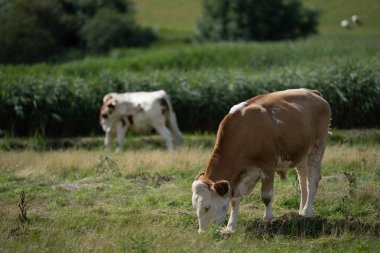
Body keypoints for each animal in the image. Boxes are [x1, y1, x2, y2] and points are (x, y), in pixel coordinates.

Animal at [191, 88, 332, 233]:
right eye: (195, 207)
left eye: (207, 207)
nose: (202, 232)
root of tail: (312, 92)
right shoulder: (239, 176)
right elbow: (235, 200)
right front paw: (230, 227)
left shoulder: (268, 165)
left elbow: (266, 196)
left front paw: (268, 220)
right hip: (301, 153)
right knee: (303, 180)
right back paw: (301, 212)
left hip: (317, 148)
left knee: (312, 181)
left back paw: (308, 212)